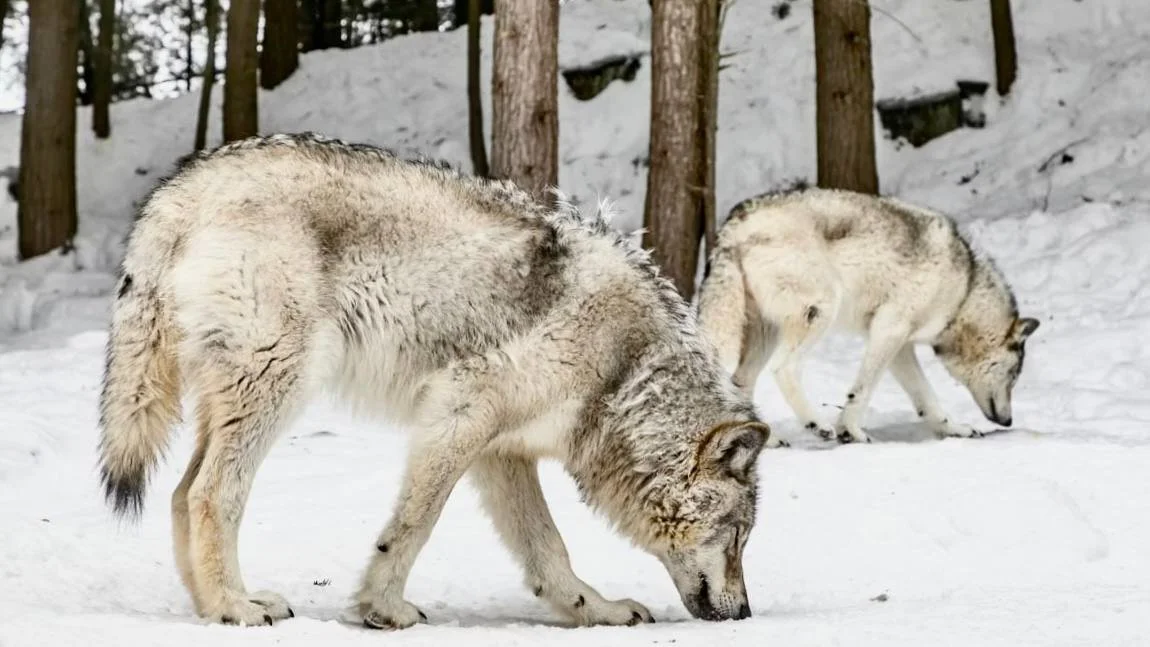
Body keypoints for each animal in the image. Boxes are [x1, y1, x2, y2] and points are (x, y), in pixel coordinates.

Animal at [97, 133, 771, 629]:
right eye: (738, 538)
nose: (744, 613)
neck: (624, 371)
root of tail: (183, 187)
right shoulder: (458, 412)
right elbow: (414, 524)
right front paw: (383, 609)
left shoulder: (503, 451)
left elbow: (548, 549)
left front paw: (596, 610)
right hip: (277, 387)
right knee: (212, 494)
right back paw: (236, 607)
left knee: (181, 493)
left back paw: (210, 608)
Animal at [697, 187, 1039, 444]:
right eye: (1013, 376)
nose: (1009, 421)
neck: (964, 291)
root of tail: (734, 224)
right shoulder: (889, 330)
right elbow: (862, 389)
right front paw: (851, 431)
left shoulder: (901, 347)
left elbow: (926, 397)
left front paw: (953, 429)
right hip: (819, 312)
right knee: (784, 369)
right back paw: (817, 424)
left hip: (765, 334)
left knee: (740, 382)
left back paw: (767, 440)